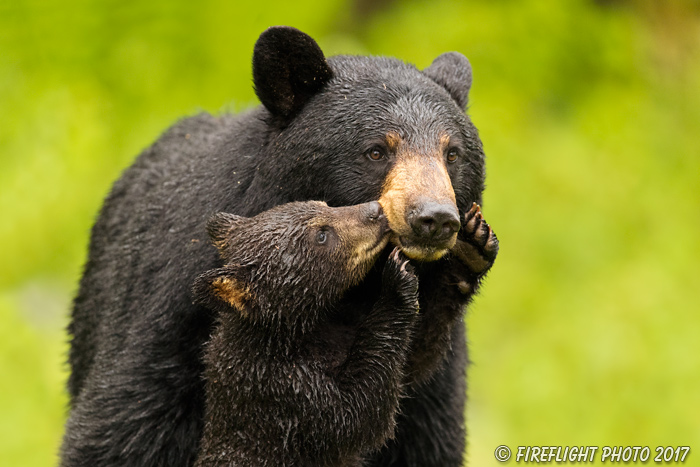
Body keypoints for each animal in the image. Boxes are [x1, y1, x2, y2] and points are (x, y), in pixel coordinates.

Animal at [60, 26, 498, 467]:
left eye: (452, 153)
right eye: (376, 150)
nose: (434, 218)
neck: (345, 299)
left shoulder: (429, 395)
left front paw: (469, 253)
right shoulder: (176, 325)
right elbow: (122, 428)